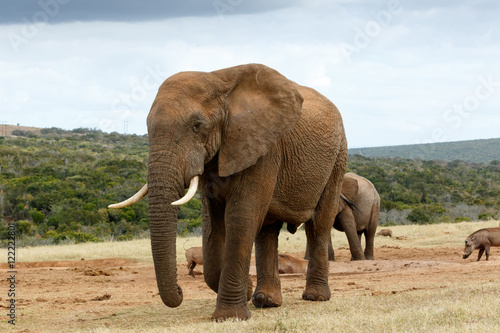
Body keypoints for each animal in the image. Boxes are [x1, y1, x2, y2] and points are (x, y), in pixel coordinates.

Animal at [108, 63, 348, 320]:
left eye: (197, 126)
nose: (180, 291)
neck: (217, 80)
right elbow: (212, 224)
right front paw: (246, 292)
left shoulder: (262, 146)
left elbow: (242, 216)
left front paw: (230, 316)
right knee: (268, 230)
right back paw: (266, 300)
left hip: (337, 159)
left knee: (319, 225)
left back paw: (315, 296)